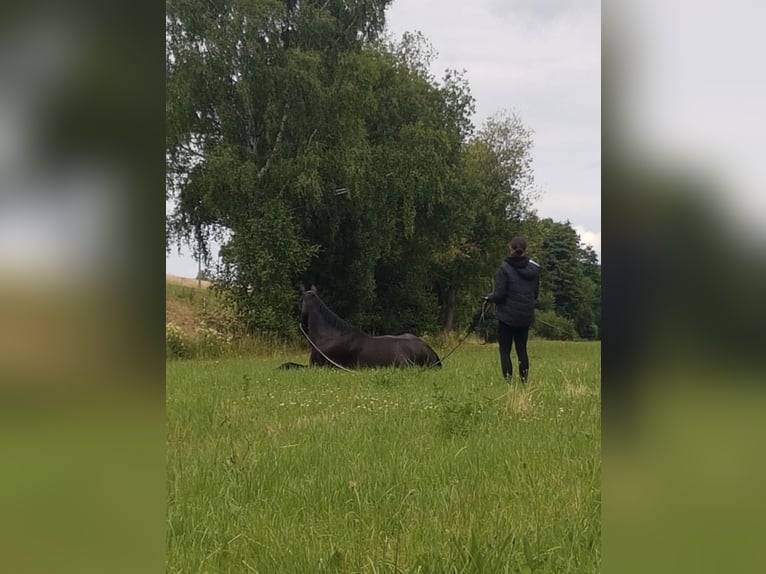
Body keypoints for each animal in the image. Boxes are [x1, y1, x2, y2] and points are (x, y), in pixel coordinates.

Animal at [280, 286, 442, 370]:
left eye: (299, 302)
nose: (303, 326)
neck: (329, 336)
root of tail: (430, 351)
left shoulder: (318, 367)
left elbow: (288, 364)